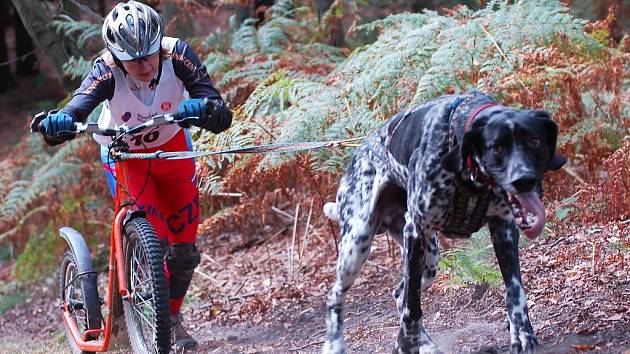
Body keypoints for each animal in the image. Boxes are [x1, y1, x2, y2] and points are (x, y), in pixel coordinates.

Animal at [320, 92, 568, 354]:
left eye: (534, 141)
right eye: (496, 147)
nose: (524, 181)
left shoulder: (504, 230)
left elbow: (515, 290)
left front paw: (521, 332)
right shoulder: (415, 232)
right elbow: (412, 308)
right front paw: (406, 345)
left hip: (429, 260)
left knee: (400, 293)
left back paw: (425, 344)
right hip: (357, 245)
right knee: (337, 295)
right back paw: (334, 344)